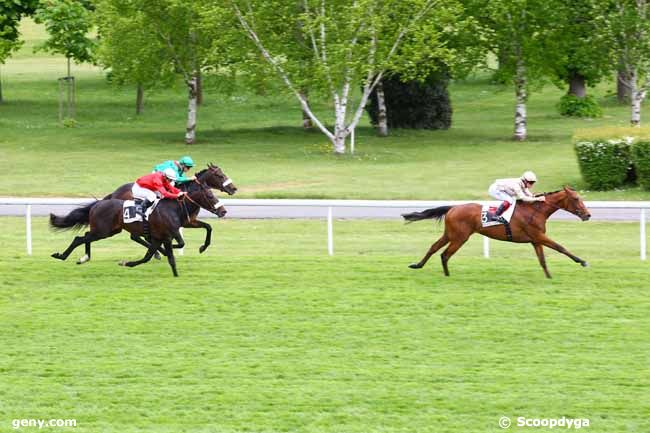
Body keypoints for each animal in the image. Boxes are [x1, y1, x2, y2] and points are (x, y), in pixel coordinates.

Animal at [50, 181, 225, 276]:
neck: (174, 207)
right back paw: (62, 256)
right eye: (210, 196)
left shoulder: (185, 224)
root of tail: (98, 203)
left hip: (108, 231)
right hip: (102, 231)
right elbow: (178, 243)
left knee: (86, 236)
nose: (223, 211)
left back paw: (83, 258)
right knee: (79, 238)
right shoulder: (172, 231)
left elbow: (207, 227)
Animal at [105, 164, 237, 255]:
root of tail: (114, 193)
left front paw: (202, 248)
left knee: (136, 237)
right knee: (135, 236)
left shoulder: (188, 221)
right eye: (220, 175)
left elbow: (208, 227)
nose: (234, 188)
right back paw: (158, 253)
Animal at [402, 187, 588, 278]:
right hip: (460, 237)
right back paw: (447, 275)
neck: (536, 210)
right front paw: (582, 261)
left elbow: (542, 260)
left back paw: (418, 265)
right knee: (445, 254)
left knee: (434, 248)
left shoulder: (536, 240)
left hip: (450, 234)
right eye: (576, 199)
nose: (588, 215)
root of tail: (453, 207)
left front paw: (549, 277)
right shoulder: (538, 236)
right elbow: (560, 247)